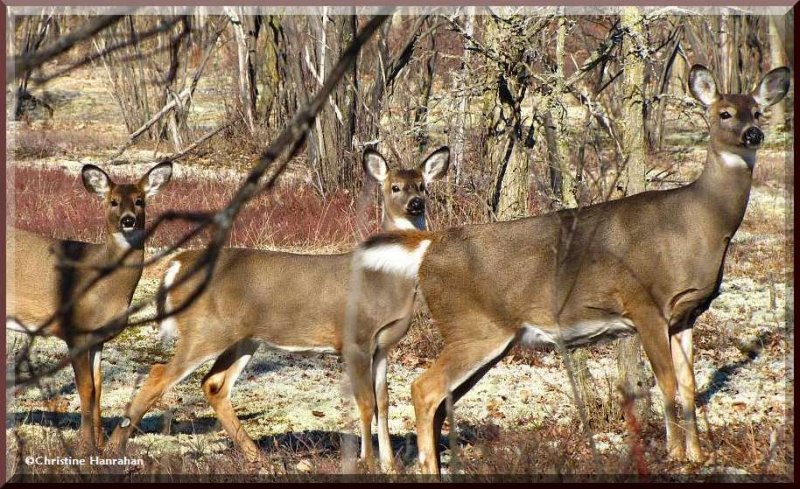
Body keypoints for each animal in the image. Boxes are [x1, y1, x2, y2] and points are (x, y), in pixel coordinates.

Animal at [7, 162, 173, 452]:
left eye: (140, 200)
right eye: (113, 201)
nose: (128, 220)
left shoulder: (98, 338)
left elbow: (99, 386)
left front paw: (101, 444)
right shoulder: (74, 330)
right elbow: (86, 388)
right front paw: (85, 447)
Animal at [108, 146, 450, 468]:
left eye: (422, 186)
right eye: (395, 187)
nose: (416, 204)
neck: (385, 279)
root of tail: (177, 264)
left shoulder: (382, 347)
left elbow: (384, 402)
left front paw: (391, 465)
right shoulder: (354, 338)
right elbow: (366, 403)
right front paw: (368, 463)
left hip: (243, 337)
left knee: (214, 384)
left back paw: (257, 456)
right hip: (203, 330)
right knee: (159, 374)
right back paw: (112, 448)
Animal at [346, 65, 792, 472]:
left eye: (758, 111)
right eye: (724, 113)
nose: (754, 134)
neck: (698, 223)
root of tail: (429, 248)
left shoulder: (686, 314)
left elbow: (688, 385)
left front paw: (698, 456)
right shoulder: (645, 302)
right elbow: (665, 383)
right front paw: (676, 457)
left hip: (488, 337)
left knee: (440, 400)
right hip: (474, 327)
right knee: (423, 389)